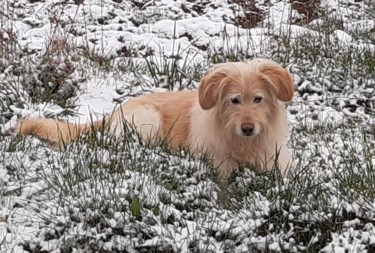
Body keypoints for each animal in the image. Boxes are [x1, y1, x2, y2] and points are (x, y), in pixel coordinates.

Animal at [15, 58, 296, 178]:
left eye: (258, 99)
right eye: (234, 100)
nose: (248, 128)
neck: (245, 145)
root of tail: (114, 113)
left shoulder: (276, 160)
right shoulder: (218, 162)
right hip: (146, 120)